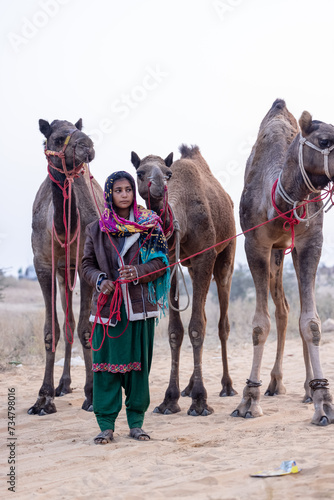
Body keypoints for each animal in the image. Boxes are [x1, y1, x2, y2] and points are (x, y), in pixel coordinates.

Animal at [132, 146, 236, 418]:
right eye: (139, 172)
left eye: (168, 173)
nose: (158, 185)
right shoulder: (169, 261)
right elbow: (175, 331)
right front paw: (170, 399)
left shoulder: (204, 257)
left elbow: (197, 327)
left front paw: (200, 402)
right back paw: (188, 387)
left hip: (225, 255)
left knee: (221, 323)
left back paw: (227, 386)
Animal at [231, 98, 334, 426]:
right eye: (324, 141)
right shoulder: (255, 244)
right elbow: (259, 325)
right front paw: (249, 399)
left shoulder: (311, 242)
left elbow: (311, 323)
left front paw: (323, 401)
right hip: (276, 252)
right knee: (283, 310)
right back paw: (275, 383)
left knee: (292, 311)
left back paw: (306, 388)